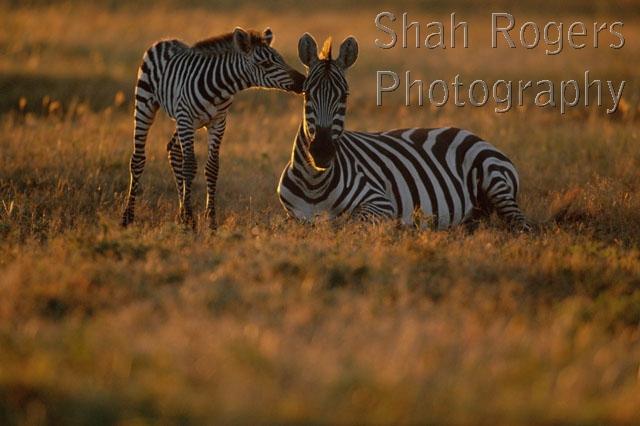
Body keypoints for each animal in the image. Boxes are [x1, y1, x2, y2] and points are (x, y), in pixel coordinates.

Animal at [122, 27, 305, 230]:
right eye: (265, 64)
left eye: (281, 58)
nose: (303, 81)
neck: (220, 89)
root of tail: (165, 40)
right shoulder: (186, 118)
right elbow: (189, 166)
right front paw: (190, 221)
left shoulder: (218, 122)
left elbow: (212, 167)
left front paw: (210, 221)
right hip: (147, 104)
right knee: (138, 159)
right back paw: (128, 217)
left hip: (186, 122)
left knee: (173, 150)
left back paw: (179, 214)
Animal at [277, 33, 531, 231]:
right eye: (307, 94)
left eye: (345, 97)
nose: (321, 151)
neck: (314, 182)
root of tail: (474, 135)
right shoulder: (293, 216)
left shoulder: (379, 202)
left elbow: (349, 223)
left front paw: (400, 225)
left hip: (494, 180)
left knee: (522, 225)